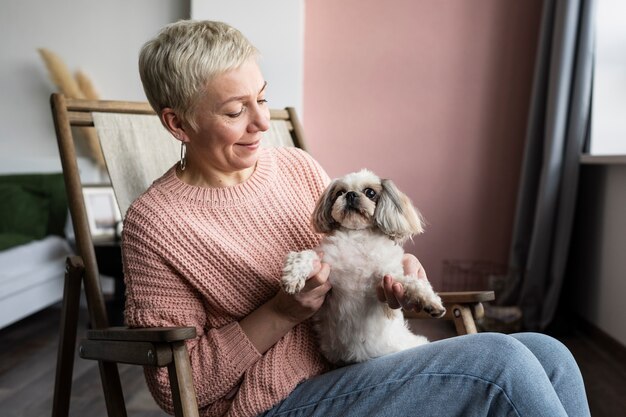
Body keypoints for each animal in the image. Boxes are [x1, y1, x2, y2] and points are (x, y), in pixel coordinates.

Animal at [280, 167, 446, 362]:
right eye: (340, 192)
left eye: (370, 192)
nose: (350, 194)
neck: (358, 236)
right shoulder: (326, 265)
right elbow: (306, 255)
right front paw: (293, 275)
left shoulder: (387, 277)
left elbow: (412, 283)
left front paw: (430, 301)